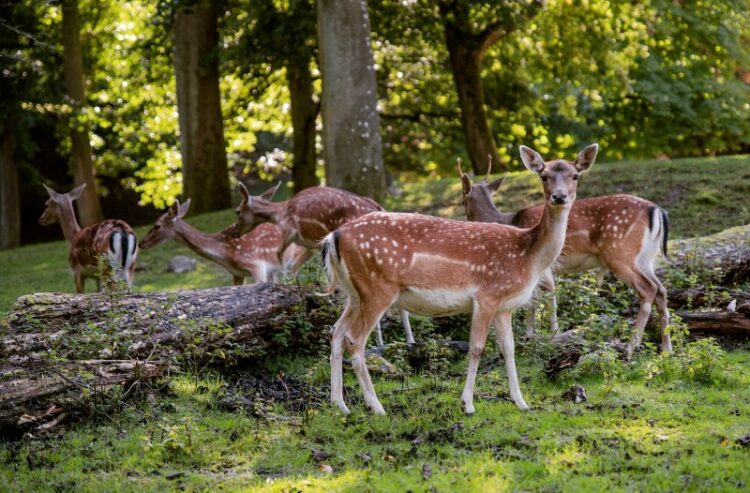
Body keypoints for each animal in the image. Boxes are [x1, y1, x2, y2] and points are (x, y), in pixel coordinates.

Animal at [238, 182, 418, 346]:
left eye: (237, 211)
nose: (234, 230)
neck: (279, 214)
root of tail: (380, 207)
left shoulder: (291, 232)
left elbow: (281, 259)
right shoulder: (311, 245)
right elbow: (295, 268)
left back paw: (382, 342)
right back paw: (408, 340)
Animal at [322, 143, 600, 416]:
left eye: (575, 175)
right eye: (544, 176)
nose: (559, 197)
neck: (527, 256)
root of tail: (333, 237)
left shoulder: (504, 306)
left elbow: (508, 347)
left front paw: (521, 402)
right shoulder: (487, 295)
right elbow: (477, 347)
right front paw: (467, 404)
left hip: (354, 293)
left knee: (336, 332)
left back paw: (340, 405)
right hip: (377, 289)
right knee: (354, 339)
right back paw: (376, 407)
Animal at [462, 152, 672, 356]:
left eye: (462, 200)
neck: (510, 221)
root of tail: (657, 210)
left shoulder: (542, 266)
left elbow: (545, 295)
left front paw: (544, 334)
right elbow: (536, 298)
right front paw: (533, 334)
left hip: (620, 253)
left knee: (649, 289)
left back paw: (631, 347)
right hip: (646, 258)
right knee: (661, 289)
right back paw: (667, 349)